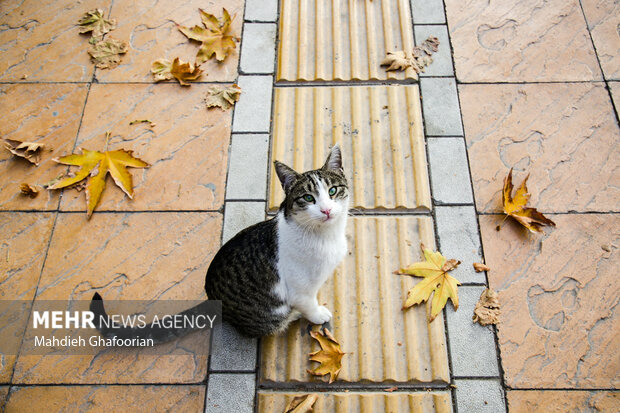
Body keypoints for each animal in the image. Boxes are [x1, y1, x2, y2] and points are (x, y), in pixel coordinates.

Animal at [91, 145, 348, 338]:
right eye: (308, 198)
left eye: (333, 191)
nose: (326, 210)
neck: (324, 236)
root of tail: (212, 298)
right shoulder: (300, 290)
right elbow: (308, 305)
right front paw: (318, 314)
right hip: (271, 314)